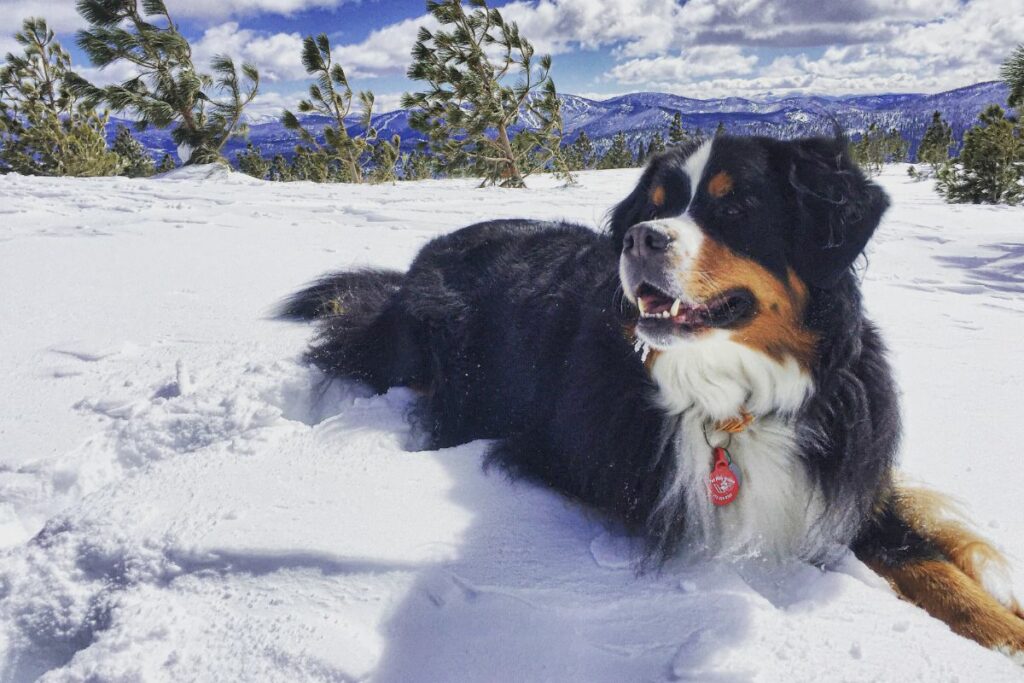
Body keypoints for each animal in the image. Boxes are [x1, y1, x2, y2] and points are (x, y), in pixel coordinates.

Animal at [282, 135, 1024, 655]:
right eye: (656, 205)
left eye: (736, 206)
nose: (640, 239)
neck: (736, 398)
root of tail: (418, 259)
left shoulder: (848, 465)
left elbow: (926, 555)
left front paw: (1002, 624)